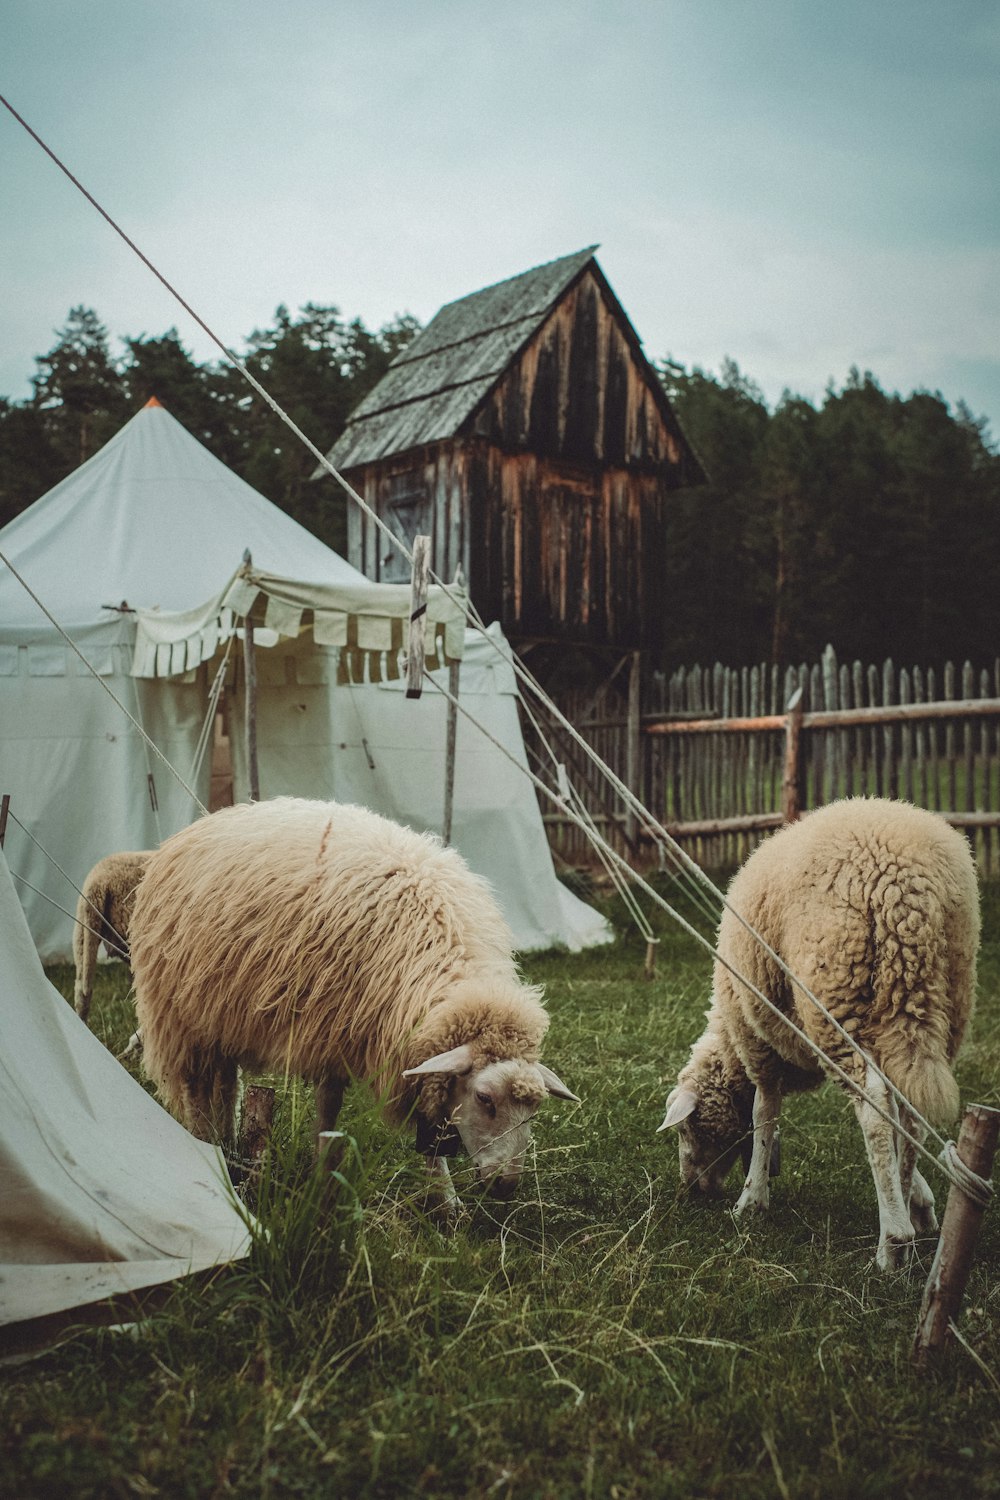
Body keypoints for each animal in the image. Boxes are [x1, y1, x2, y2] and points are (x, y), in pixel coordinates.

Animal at [128, 798, 578, 1206]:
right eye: (485, 1099)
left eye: (534, 1109)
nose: (506, 1186)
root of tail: (205, 822)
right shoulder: (329, 1028)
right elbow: (329, 1107)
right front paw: (325, 1182)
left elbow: (427, 1127)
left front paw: (445, 1201)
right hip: (179, 1012)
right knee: (195, 1086)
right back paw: (206, 1143)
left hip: (220, 1014)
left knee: (225, 1082)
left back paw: (228, 1144)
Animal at [659, 792, 983, 1272]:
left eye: (686, 1129)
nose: (693, 1190)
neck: (730, 1047)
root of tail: (907, 887)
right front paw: (923, 1201)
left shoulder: (758, 1046)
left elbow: (763, 1114)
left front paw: (751, 1199)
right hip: (937, 1001)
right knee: (909, 1112)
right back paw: (905, 1206)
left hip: (838, 998)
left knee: (875, 1109)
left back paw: (893, 1240)